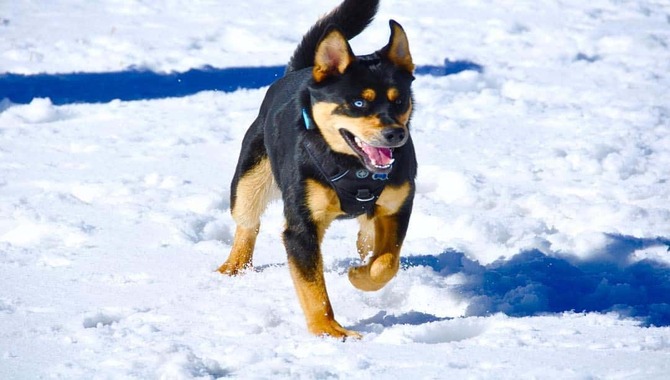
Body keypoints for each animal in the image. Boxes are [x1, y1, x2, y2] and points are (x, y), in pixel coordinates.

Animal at [218, 0, 418, 338]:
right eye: (358, 104)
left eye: (399, 100)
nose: (395, 134)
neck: (353, 168)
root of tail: (300, 72)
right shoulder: (302, 227)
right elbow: (313, 287)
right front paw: (329, 331)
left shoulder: (398, 205)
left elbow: (387, 261)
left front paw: (360, 275)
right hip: (249, 177)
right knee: (247, 222)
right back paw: (234, 266)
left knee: (367, 234)